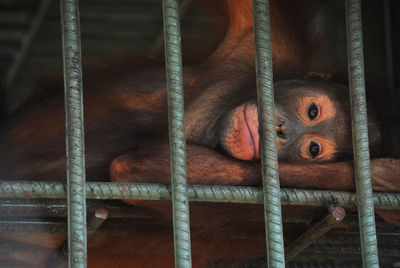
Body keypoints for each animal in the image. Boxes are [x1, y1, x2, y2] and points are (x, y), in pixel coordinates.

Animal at [0, 0, 400, 266]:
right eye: (312, 111)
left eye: (313, 149)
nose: (283, 130)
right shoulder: (274, 41)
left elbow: (141, 168)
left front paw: (378, 175)